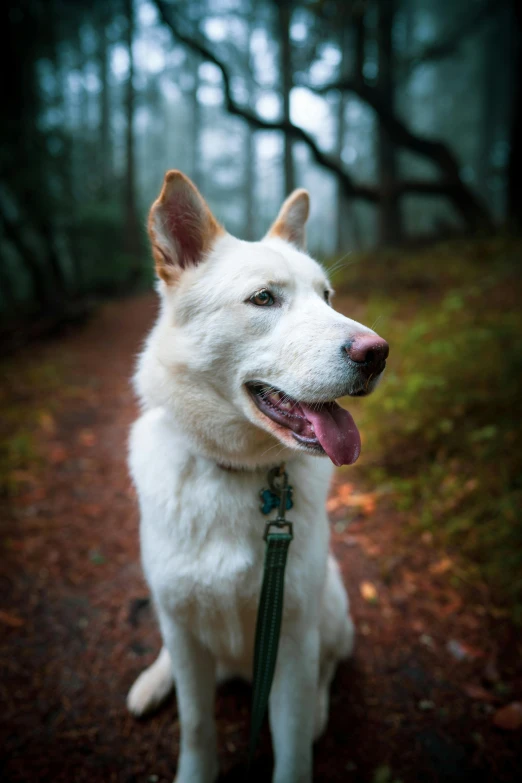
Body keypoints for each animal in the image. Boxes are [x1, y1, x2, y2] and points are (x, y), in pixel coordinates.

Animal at [126, 173, 386, 783]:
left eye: (327, 298)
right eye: (264, 298)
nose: (379, 353)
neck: (236, 473)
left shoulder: (290, 638)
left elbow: (291, 749)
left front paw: (301, 733)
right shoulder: (185, 631)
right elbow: (196, 725)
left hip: (328, 610)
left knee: (329, 666)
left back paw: (319, 711)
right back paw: (153, 681)